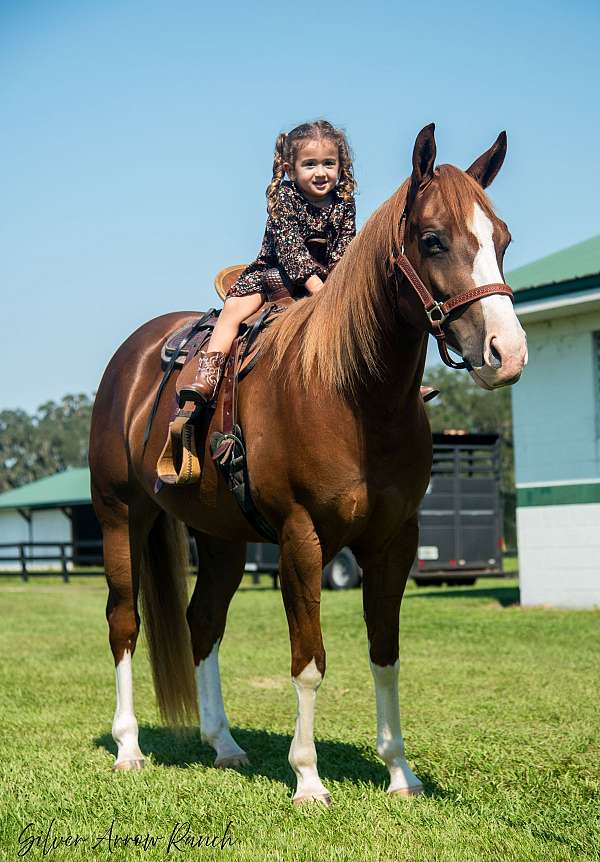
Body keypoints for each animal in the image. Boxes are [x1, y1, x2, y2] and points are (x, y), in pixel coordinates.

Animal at [88, 125, 524, 808]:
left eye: (502, 240)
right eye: (432, 240)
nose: (508, 353)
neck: (349, 395)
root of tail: (130, 359)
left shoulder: (394, 541)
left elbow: (385, 652)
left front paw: (400, 774)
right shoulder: (301, 539)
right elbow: (309, 661)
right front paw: (308, 778)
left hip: (220, 539)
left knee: (202, 622)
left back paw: (224, 744)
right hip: (120, 519)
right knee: (124, 623)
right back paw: (129, 747)